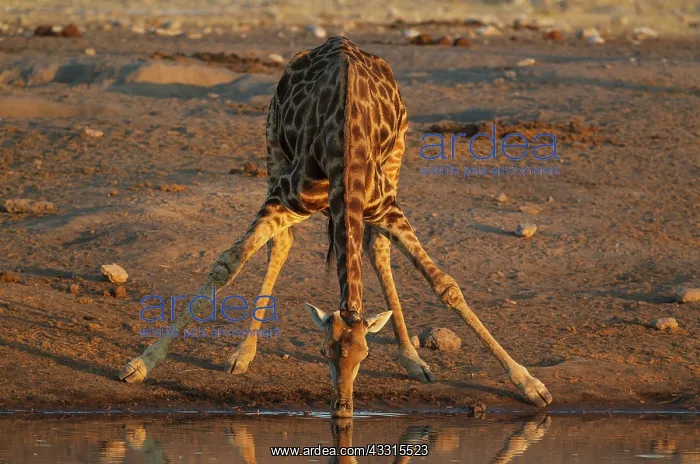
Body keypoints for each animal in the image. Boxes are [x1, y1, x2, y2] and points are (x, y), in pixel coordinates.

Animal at [118, 37, 553, 417]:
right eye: (324, 352)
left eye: (364, 355)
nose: (342, 406)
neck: (346, 146)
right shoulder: (284, 196)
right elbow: (228, 262)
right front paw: (142, 363)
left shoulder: (387, 206)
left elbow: (445, 285)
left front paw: (530, 385)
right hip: (272, 146)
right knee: (282, 242)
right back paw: (243, 354)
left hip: (397, 156)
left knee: (377, 248)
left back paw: (414, 361)